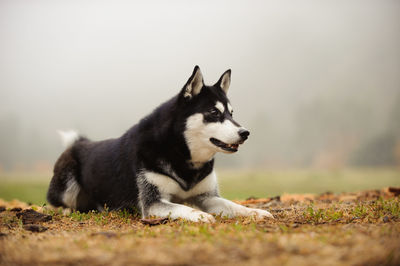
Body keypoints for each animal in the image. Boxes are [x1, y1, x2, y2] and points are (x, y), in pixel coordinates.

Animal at [46, 66, 272, 222]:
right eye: (214, 113)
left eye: (231, 114)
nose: (245, 133)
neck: (182, 156)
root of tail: (79, 143)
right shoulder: (153, 203)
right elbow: (184, 208)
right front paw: (200, 216)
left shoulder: (206, 197)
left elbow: (233, 205)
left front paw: (255, 211)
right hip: (67, 183)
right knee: (58, 204)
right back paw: (67, 209)